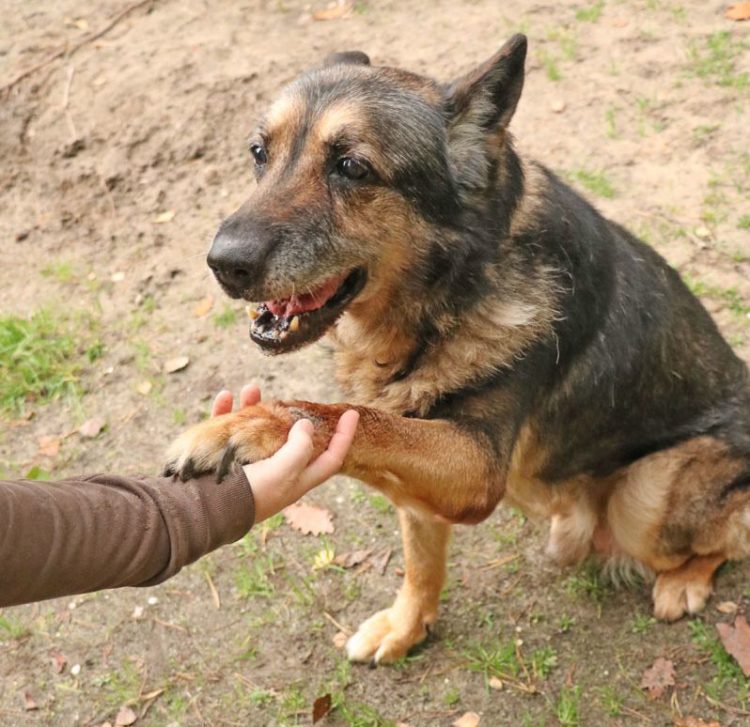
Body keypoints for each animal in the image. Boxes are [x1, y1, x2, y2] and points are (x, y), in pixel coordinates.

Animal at [164, 38, 750, 664]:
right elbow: (416, 550)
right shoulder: (435, 478)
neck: (442, 301)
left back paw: (684, 582)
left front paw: (245, 426)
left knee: (726, 539)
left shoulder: (476, 466)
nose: (223, 264)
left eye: (351, 167)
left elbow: (351, 418)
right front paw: (407, 626)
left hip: (644, 496)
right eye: (258, 153)